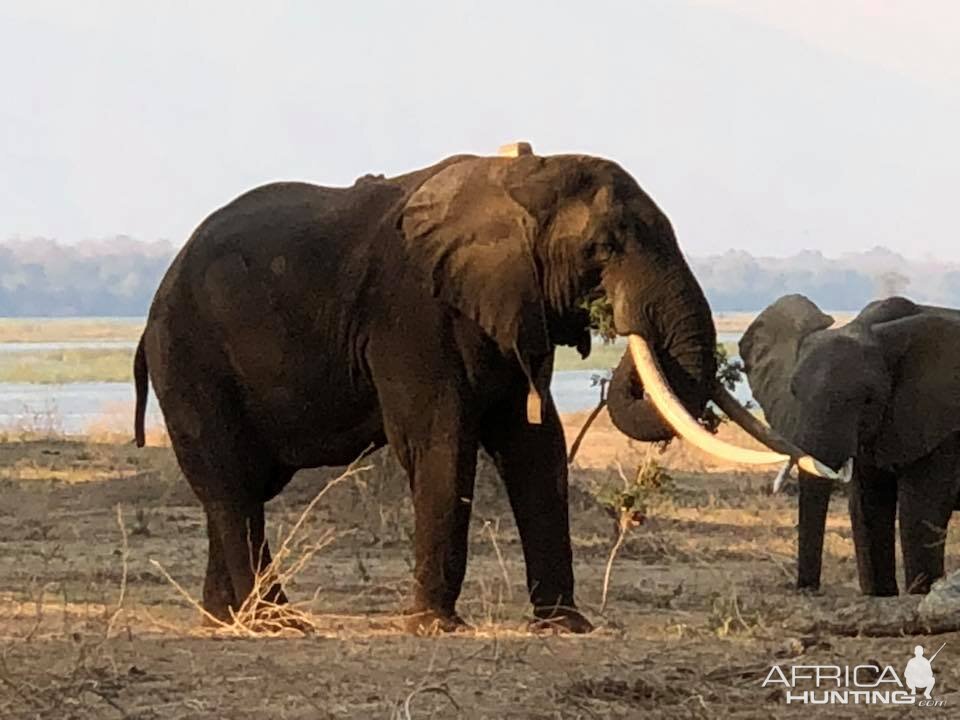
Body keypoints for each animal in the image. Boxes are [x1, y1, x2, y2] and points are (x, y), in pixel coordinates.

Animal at [135, 149, 824, 632]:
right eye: (602, 247)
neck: (519, 177)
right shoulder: (411, 312)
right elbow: (439, 441)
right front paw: (435, 628)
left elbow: (535, 446)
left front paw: (567, 626)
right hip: (189, 359)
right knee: (231, 487)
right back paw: (278, 624)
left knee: (240, 489)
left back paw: (227, 619)